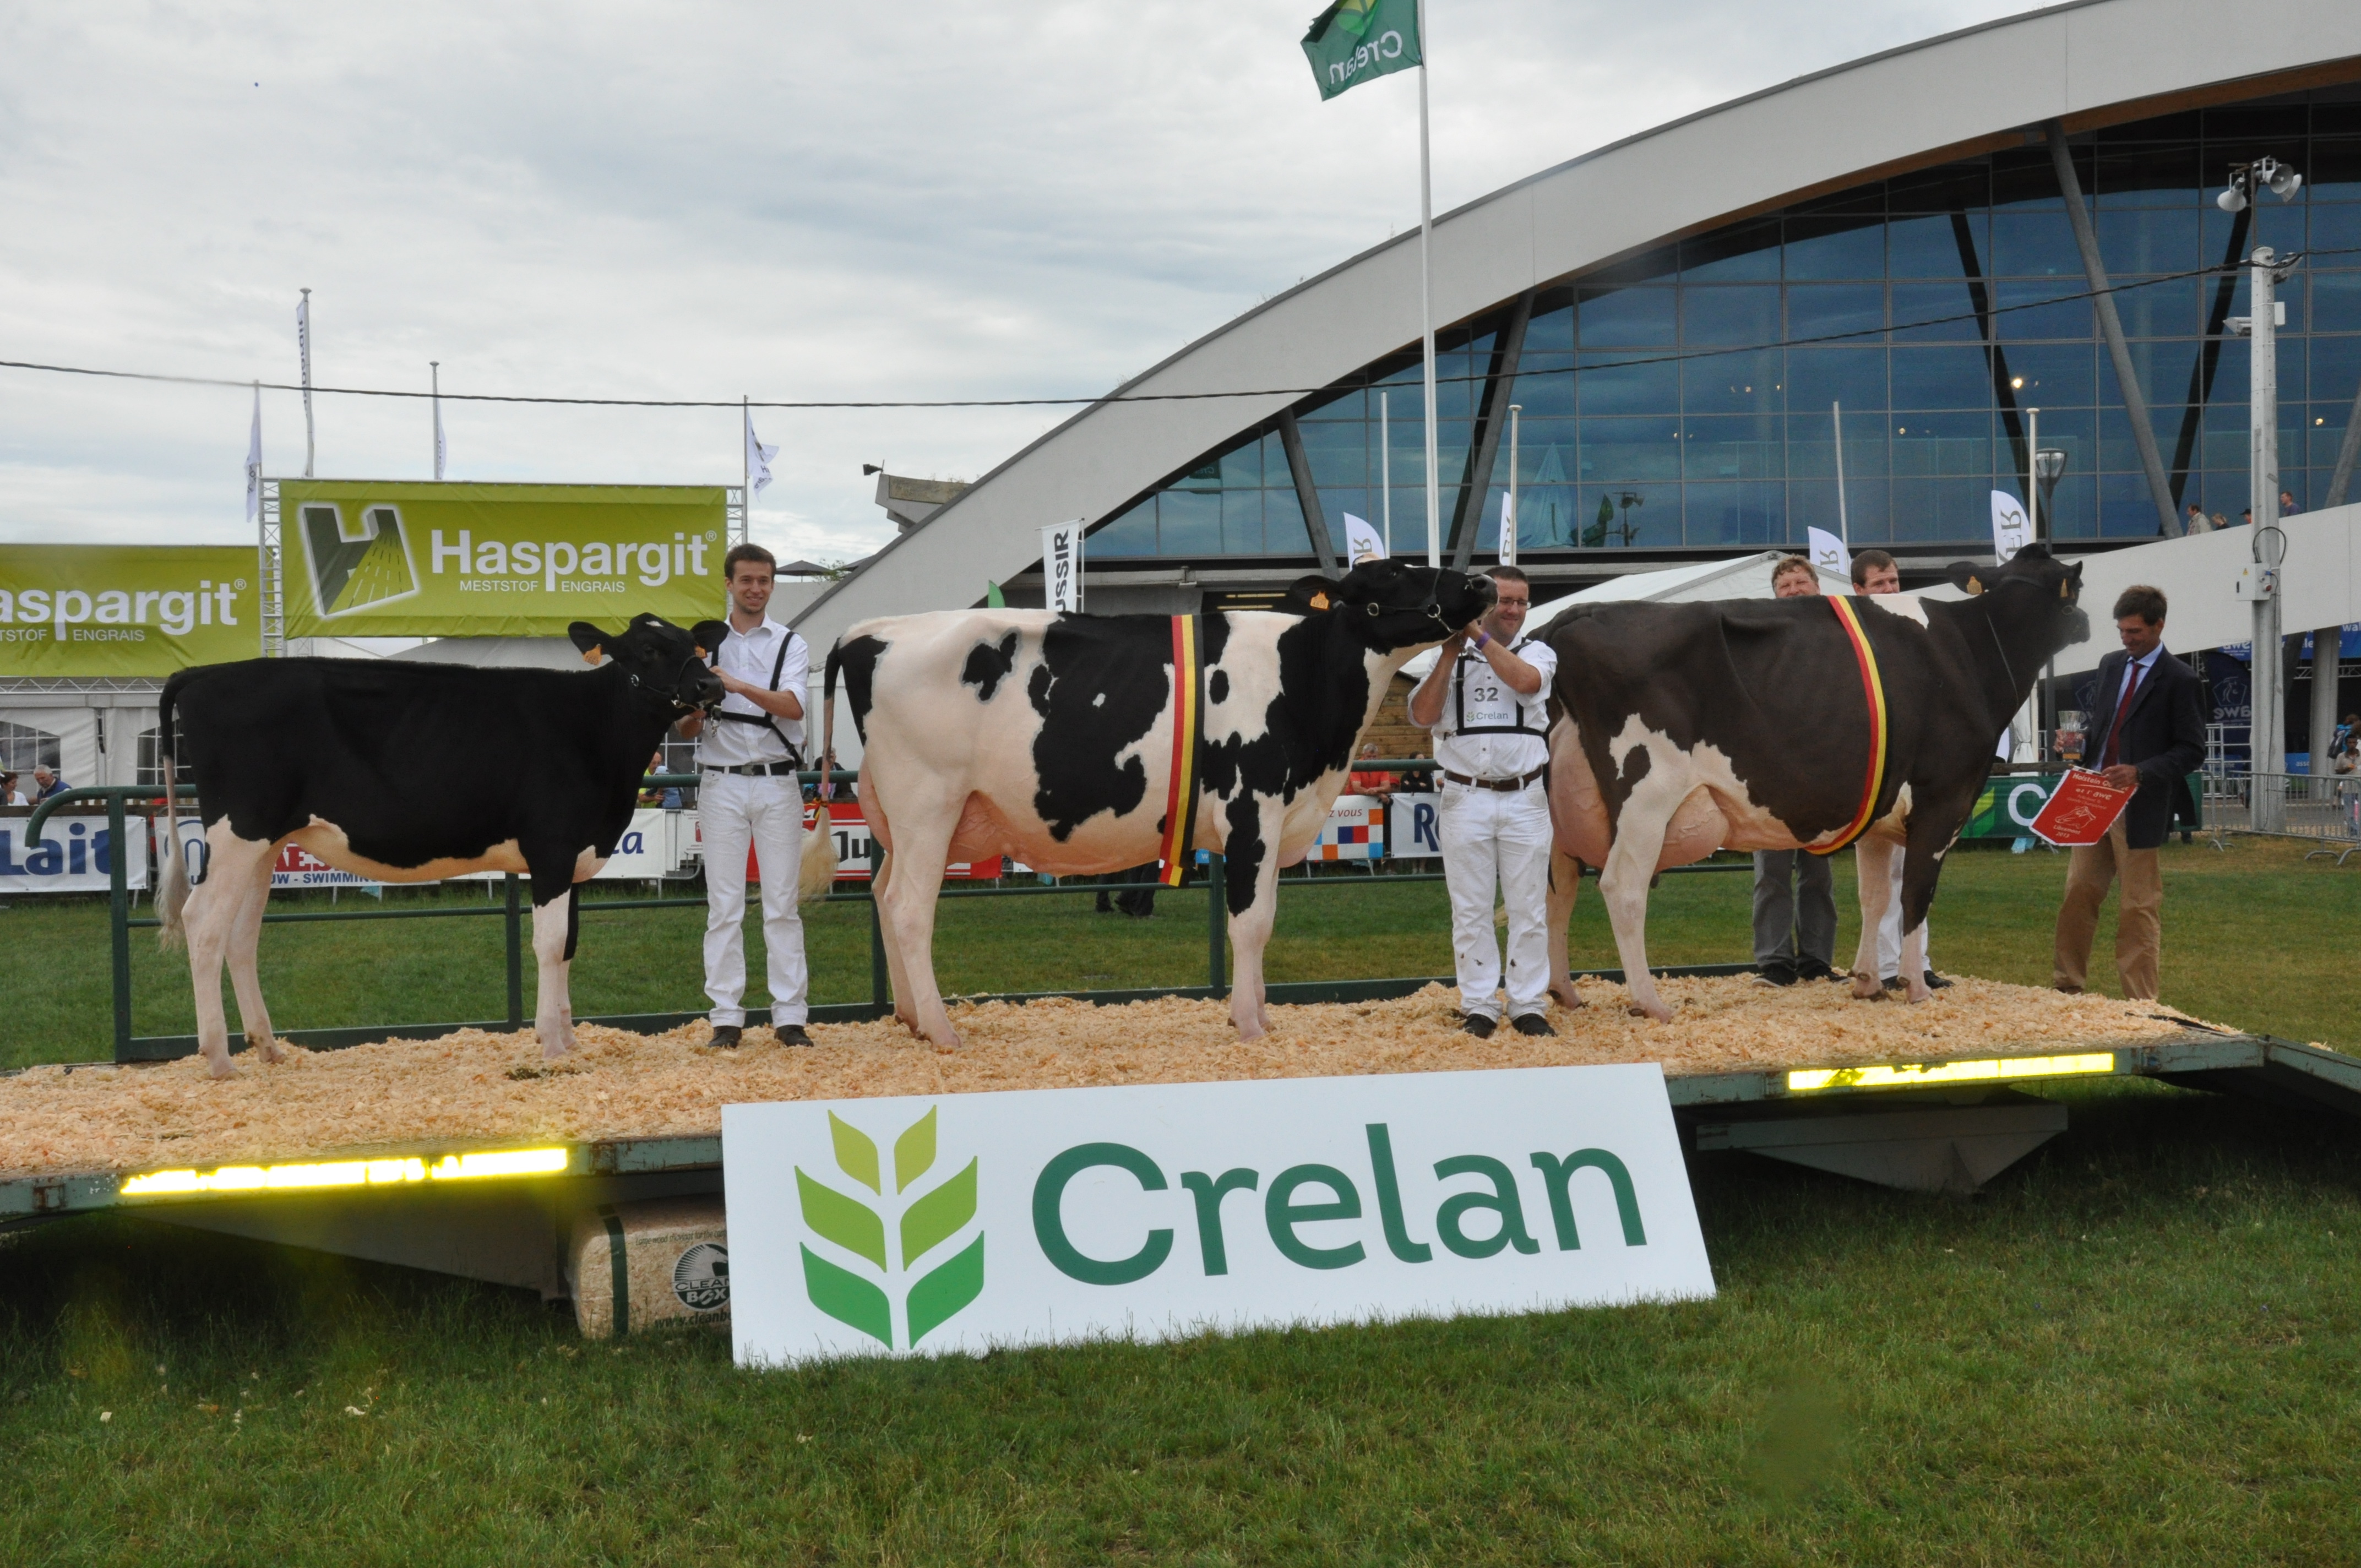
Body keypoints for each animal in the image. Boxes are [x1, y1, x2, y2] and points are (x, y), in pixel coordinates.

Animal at [154, 614, 728, 1079]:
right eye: (649, 649)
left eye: (694, 645)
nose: (711, 684)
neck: (597, 735)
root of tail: (205, 674)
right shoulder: (552, 849)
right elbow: (549, 944)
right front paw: (550, 1044)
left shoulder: (575, 858)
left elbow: (569, 945)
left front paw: (569, 1039)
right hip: (238, 832)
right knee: (203, 923)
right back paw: (219, 1060)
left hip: (265, 844)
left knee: (241, 936)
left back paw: (268, 1048)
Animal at [822, 559, 1497, 1046]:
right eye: (1394, 573)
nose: (1483, 580)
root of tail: (867, 631)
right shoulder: (1252, 808)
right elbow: (1250, 923)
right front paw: (1249, 1025)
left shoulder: (1279, 820)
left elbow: (1266, 917)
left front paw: (1261, 1016)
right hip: (927, 803)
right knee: (910, 908)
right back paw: (942, 1031)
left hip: (899, 817)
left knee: (881, 893)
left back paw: (911, 1019)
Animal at [1535, 544, 2091, 1020]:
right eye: (2075, 587)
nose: (2087, 623)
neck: (1971, 652)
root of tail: (1573, 616)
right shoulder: (1944, 800)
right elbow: (1915, 896)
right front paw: (1915, 988)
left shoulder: (1881, 814)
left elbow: (1875, 897)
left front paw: (1867, 982)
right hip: (1647, 793)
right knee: (1622, 887)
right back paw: (1649, 1002)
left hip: (1557, 807)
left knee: (1557, 889)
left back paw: (1565, 992)